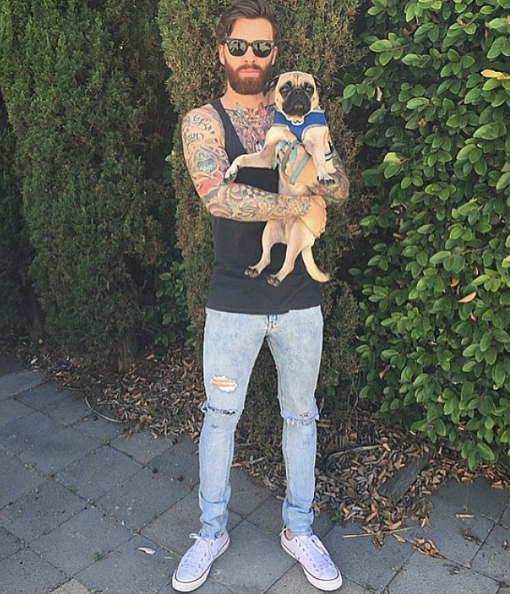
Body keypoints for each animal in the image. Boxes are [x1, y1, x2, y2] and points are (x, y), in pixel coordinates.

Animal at [224, 71, 335, 286]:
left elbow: (319, 158)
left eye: (309, 88)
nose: (298, 92)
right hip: (269, 231)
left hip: (298, 233)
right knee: (267, 257)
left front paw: (324, 175)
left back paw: (276, 277)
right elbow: (242, 158)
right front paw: (231, 171)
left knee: (289, 264)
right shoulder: (267, 155)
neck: (295, 121)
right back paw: (256, 269)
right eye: (285, 88)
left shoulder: (315, 144)